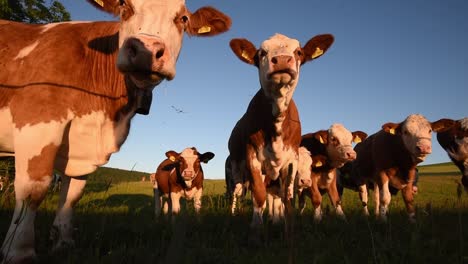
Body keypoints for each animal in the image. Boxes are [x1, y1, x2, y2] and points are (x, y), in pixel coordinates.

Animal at [0, 1, 230, 262]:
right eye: (124, 7)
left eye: (183, 18)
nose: (146, 51)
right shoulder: (37, 123)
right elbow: (33, 190)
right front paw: (19, 251)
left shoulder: (81, 149)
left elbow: (72, 195)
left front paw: (64, 245)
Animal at [226, 32, 332, 227]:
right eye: (262, 52)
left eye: (298, 52)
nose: (282, 60)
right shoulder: (252, 157)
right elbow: (259, 197)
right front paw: (256, 228)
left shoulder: (291, 160)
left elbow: (286, 199)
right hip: (236, 168)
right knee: (237, 193)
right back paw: (234, 216)